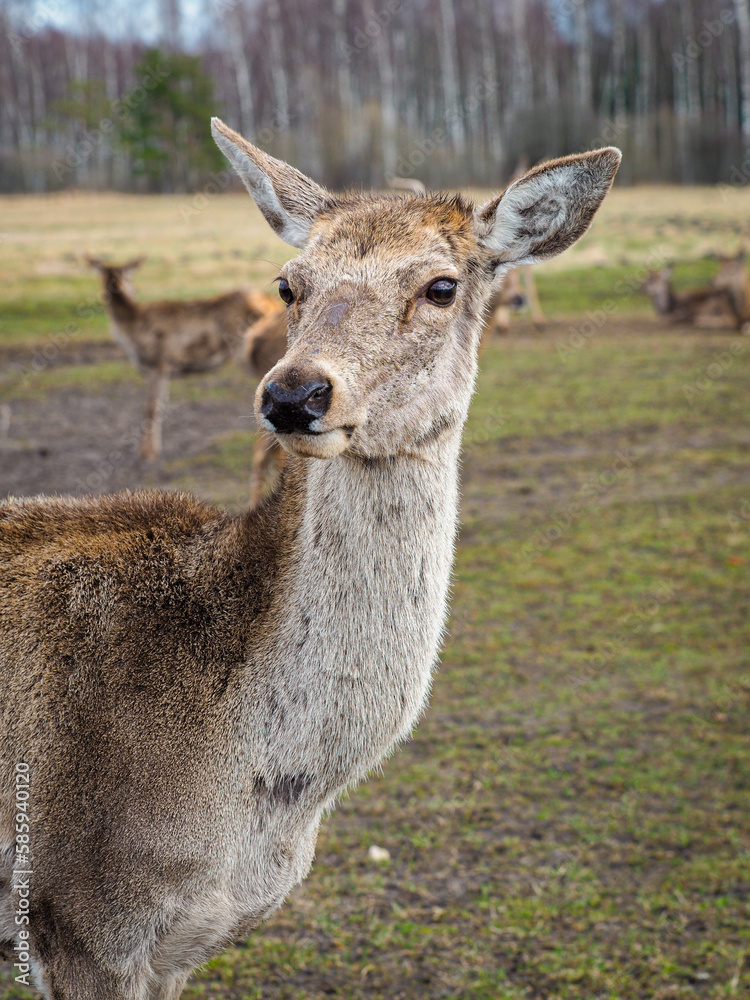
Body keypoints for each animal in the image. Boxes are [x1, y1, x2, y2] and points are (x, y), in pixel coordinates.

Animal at [87, 256, 280, 461]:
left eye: (130, 277)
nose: (133, 289)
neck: (130, 328)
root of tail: (273, 302)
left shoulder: (158, 364)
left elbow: (151, 408)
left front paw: (147, 453)